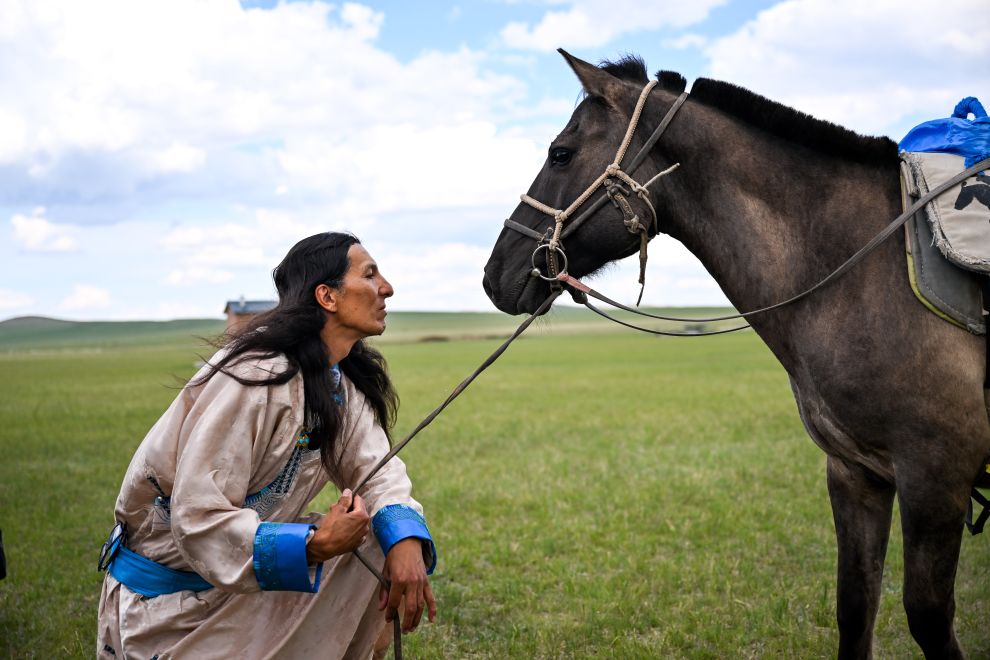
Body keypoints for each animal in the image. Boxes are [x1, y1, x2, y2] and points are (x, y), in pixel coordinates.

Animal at [482, 50, 990, 659]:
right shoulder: (856, 473)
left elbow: (928, 617)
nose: (494, 275)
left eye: (560, 153)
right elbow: (855, 608)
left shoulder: (935, 478)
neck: (865, 267)